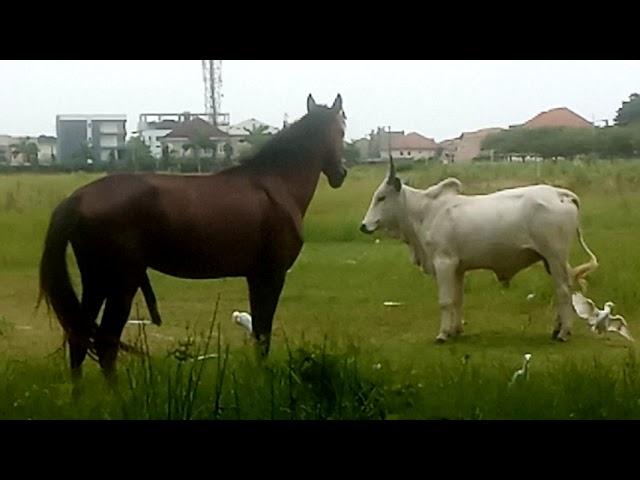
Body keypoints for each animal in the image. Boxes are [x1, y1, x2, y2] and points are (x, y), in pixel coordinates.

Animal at [37, 94, 348, 386]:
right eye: (342, 129)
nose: (340, 174)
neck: (275, 186)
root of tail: (77, 199)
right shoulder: (271, 275)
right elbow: (262, 335)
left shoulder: (255, 276)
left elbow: (259, 332)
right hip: (121, 283)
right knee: (104, 342)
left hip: (96, 281)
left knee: (79, 337)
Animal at [360, 159, 600, 344]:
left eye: (381, 197)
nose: (364, 226)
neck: (425, 212)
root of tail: (560, 193)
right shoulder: (457, 268)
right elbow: (457, 299)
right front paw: (455, 331)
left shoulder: (443, 263)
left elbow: (445, 301)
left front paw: (442, 334)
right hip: (551, 261)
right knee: (565, 288)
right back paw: (557, 329)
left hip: (554, 256)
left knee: (563, 290)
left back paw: (564, 333)